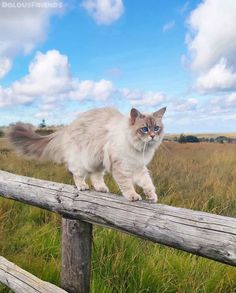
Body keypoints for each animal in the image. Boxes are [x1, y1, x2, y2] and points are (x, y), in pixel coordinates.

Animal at [7, 106, 166, 201]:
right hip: (82, 162)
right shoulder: (121, 166)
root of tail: (67, 127)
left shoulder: (138, 167)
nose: (153, 136)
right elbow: (127, 184)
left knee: (96, 177)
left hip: (97, 161)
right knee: (77, 176)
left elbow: (147, 183)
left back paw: (102, 189)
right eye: (144, 129)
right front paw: (133, 196)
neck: (139, 148)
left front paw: (152, 196)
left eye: (156, 128)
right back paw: (83, 186)